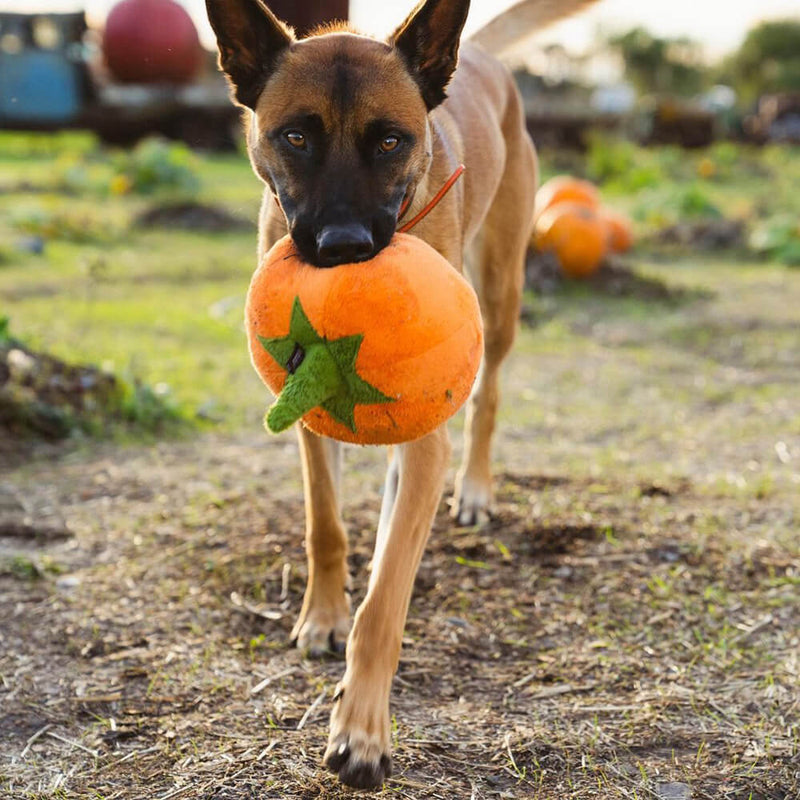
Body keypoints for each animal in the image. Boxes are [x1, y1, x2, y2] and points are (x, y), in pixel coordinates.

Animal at [208, 0, 600, 788]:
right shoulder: (308, 420)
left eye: (390, 141)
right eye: (295, 136)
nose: (343, 247)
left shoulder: (427, 439)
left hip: (501, 297)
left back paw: (474, 490)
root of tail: (477, 53)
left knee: (488, 399)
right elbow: (326, 526)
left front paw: (360, 729)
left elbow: (386, 601)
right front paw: (323, 616)